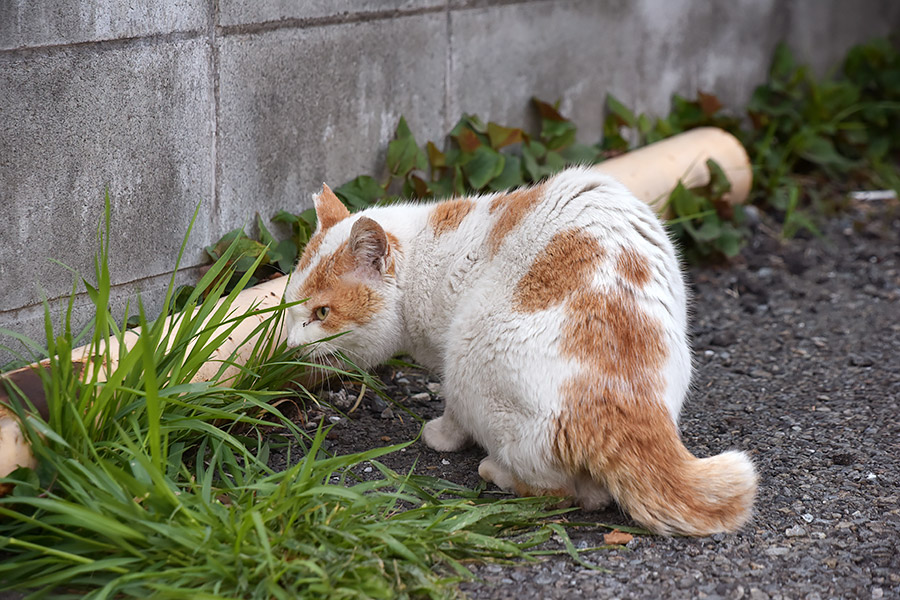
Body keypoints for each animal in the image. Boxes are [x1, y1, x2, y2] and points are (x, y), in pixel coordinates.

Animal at [284, 165, 756, 536]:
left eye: (322, 313)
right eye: (288, 306)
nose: (287, 343)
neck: (427, 256)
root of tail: (621, 398)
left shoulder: (450, 359)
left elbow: (452, 415)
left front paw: (441, 436)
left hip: (471, 355)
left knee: (558, 491)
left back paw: (494, 470)